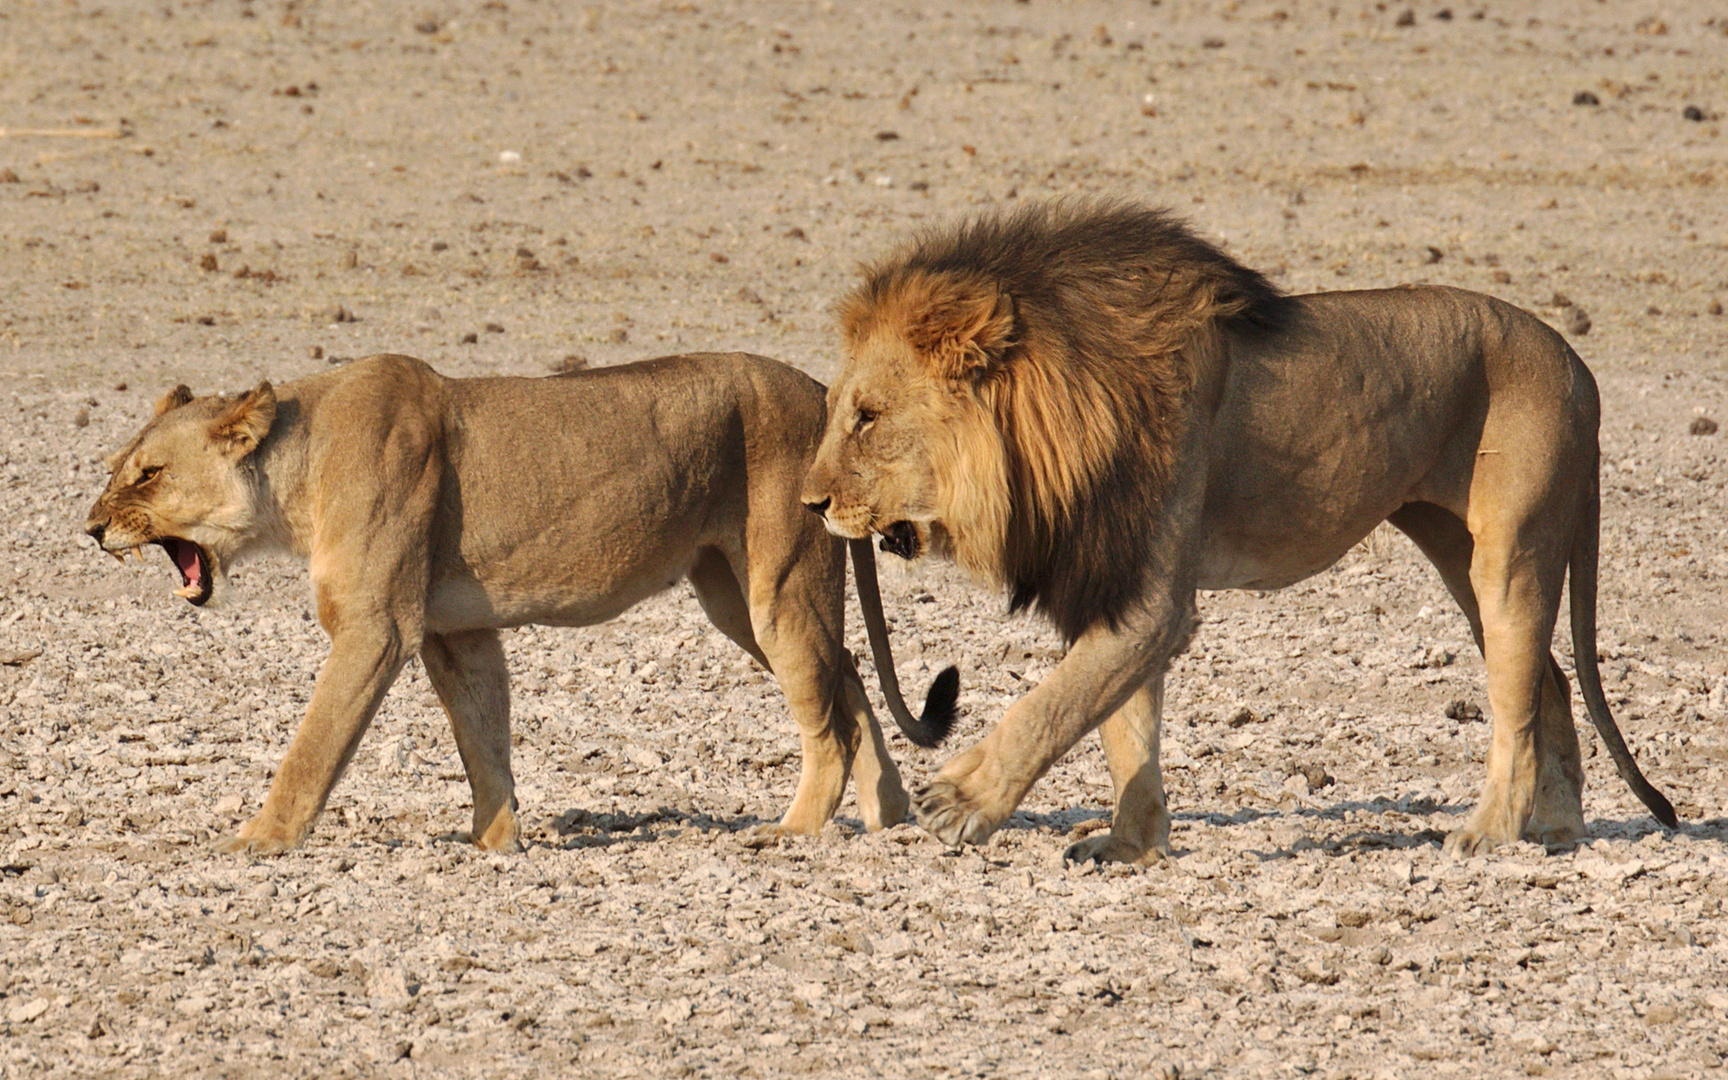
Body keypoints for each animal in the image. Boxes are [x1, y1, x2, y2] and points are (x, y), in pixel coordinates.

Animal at [87, 352, 953, 850]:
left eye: (149, 475)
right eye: (118, 466)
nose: (92, 528)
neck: (293, 479)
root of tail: (823, 390)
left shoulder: (376, 628)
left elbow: (314, 745)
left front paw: (258, 839)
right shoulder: (455, 631)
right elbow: (483, 737)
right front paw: (497, 843)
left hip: (779, 584)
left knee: (827, 712)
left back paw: (793, 830)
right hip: (733, 596)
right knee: (846, 675)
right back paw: (890, 816)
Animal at [805, 200, 1672, 860]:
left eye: (868, 417)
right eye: (840, 409)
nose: (812, 504)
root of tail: (1579, 367)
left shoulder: (1153, 599)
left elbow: (1054, 704)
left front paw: (960, 800)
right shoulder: (1114, 580)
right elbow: (1125, 724)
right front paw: (1133, 844)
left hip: (1511, 550)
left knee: (1518, 696)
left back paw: (1488, 832)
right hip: (1456, 551)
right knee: (1549, 678)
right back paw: (1556, 829)